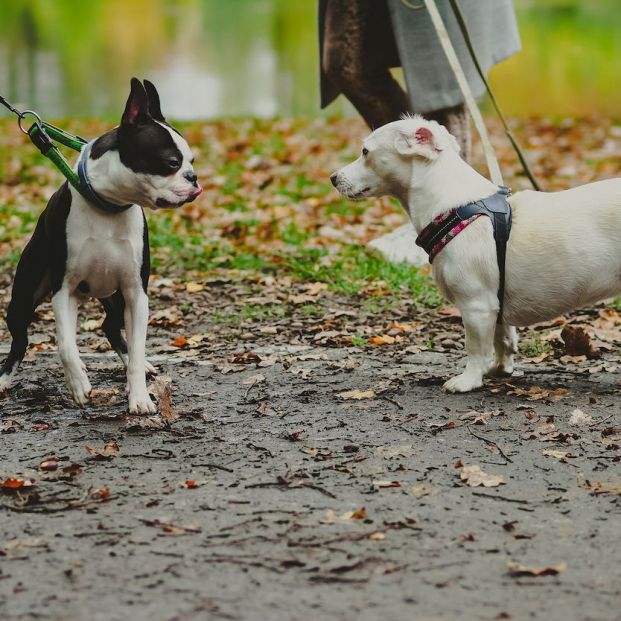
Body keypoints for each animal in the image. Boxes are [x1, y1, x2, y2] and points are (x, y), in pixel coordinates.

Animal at [0, 80, 201, 414]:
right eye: (172, 163)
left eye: (192, 162)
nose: (194, 178)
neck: (109, 206)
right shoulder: (64, 290)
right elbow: (65, 344)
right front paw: (79, 384)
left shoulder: (136, 293)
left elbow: (137, 348)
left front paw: (140, 397)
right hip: (23, 297)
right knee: (20, 341)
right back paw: (4, 379)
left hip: (116, 298)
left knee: (110, 327)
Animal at [332, 116, 620, 392]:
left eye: (365, 151)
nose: (333, 178)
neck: (456, 210)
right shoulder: (496, 304)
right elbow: (503, 340)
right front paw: (500, 369)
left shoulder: (476, 306)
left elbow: (476, 349)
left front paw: (469, 380)